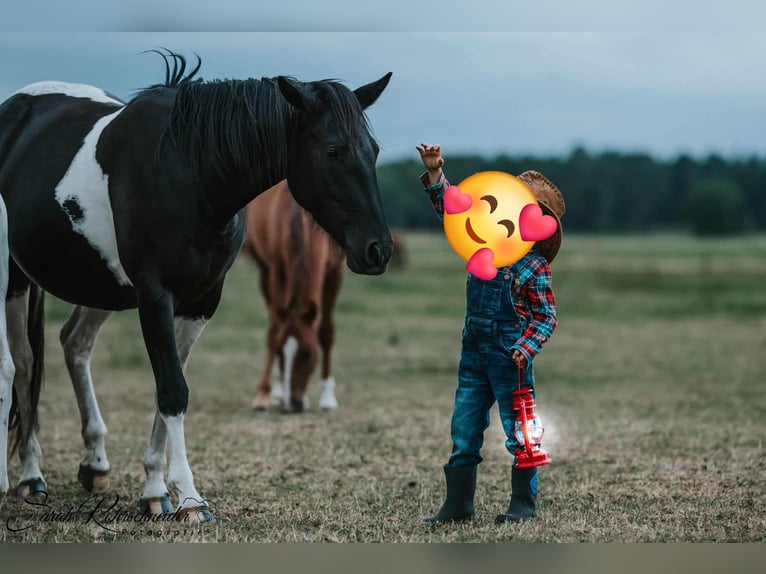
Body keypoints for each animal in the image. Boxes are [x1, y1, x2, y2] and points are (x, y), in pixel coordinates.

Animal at [242, 180, 345, 414]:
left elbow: (326, 332)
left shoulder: (334, 272)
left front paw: (327, 397)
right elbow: (274, 331)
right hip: (265, 271)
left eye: (307, 353)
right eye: (280, 352)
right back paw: (275, 392)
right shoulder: (276, 270)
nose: (291, 405)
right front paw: (266, 393)